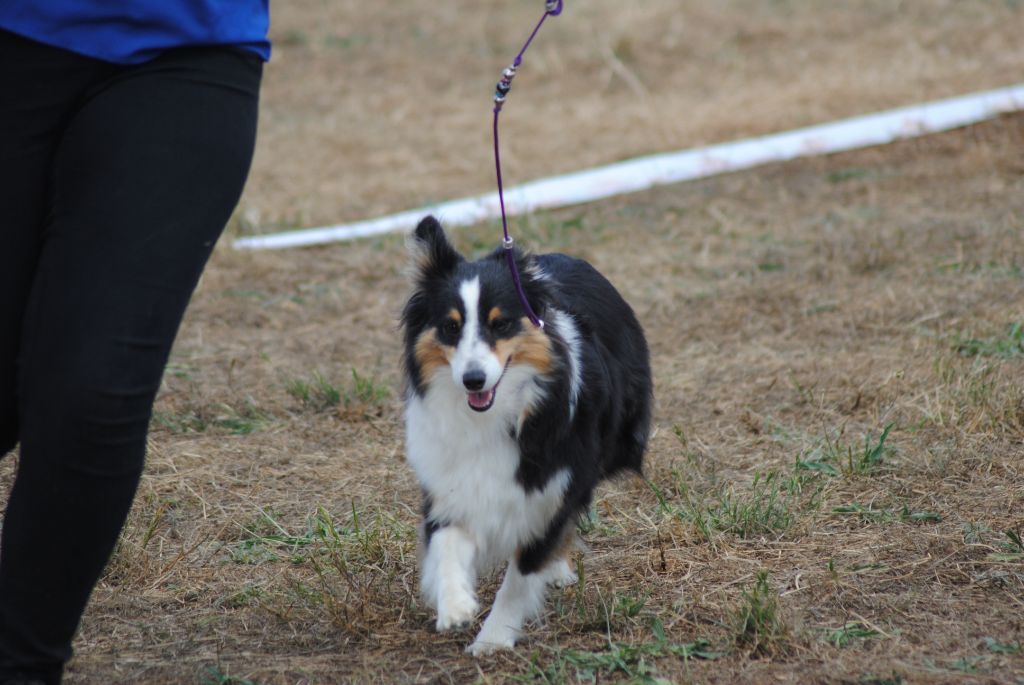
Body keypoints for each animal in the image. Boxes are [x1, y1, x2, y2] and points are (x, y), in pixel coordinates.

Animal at [399, 216, 647, 655]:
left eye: (500, 324)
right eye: (450, 327)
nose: (473, 379)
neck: (496, 414)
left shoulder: (554, 487)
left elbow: (520, 577)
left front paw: (493, 639)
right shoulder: (451, 484)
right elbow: (445, 545)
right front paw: (455, 606)